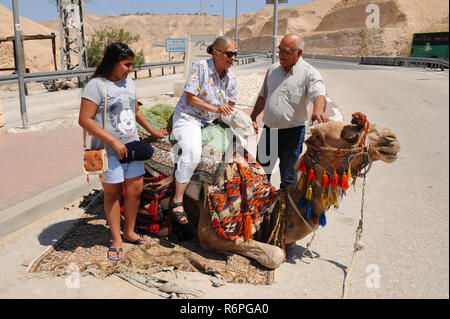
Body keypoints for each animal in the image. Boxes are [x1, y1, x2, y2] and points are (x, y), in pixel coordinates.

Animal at [179, 114, 400, 272]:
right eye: (352, 136)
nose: (391, 139)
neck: (272, 208)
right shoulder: (211, 230)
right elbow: (276, 254)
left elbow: (287, 246)